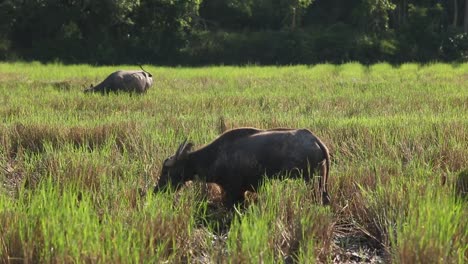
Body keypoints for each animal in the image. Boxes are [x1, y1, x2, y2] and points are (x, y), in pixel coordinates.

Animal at [153, 127, 330, 205]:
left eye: (167, 171)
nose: (156, 190)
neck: (215, 156)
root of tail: (315, 139)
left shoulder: (234, 191)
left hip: (311, 180)